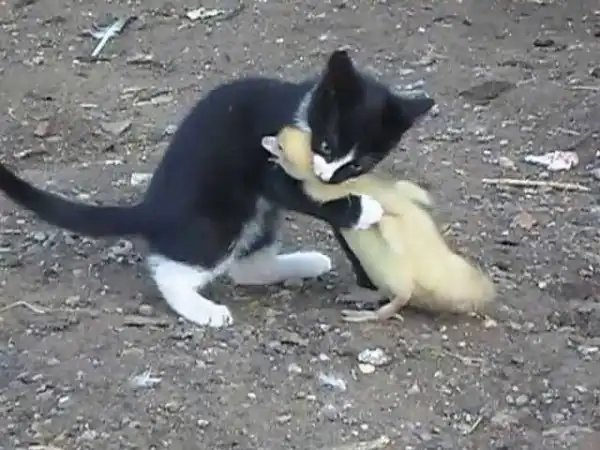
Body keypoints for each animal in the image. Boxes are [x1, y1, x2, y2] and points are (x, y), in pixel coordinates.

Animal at [0, 50, 435, 327]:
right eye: (327, 144)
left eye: (360, 163)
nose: (329, 176)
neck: (301, 110)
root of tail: (153, 206)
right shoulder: (271, 164)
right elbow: (302, 195)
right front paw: (364, 210)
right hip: (223, 211)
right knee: (173, 268)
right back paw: (201, 309)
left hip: (257, 216)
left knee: (247, 264)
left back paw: (306, 262)